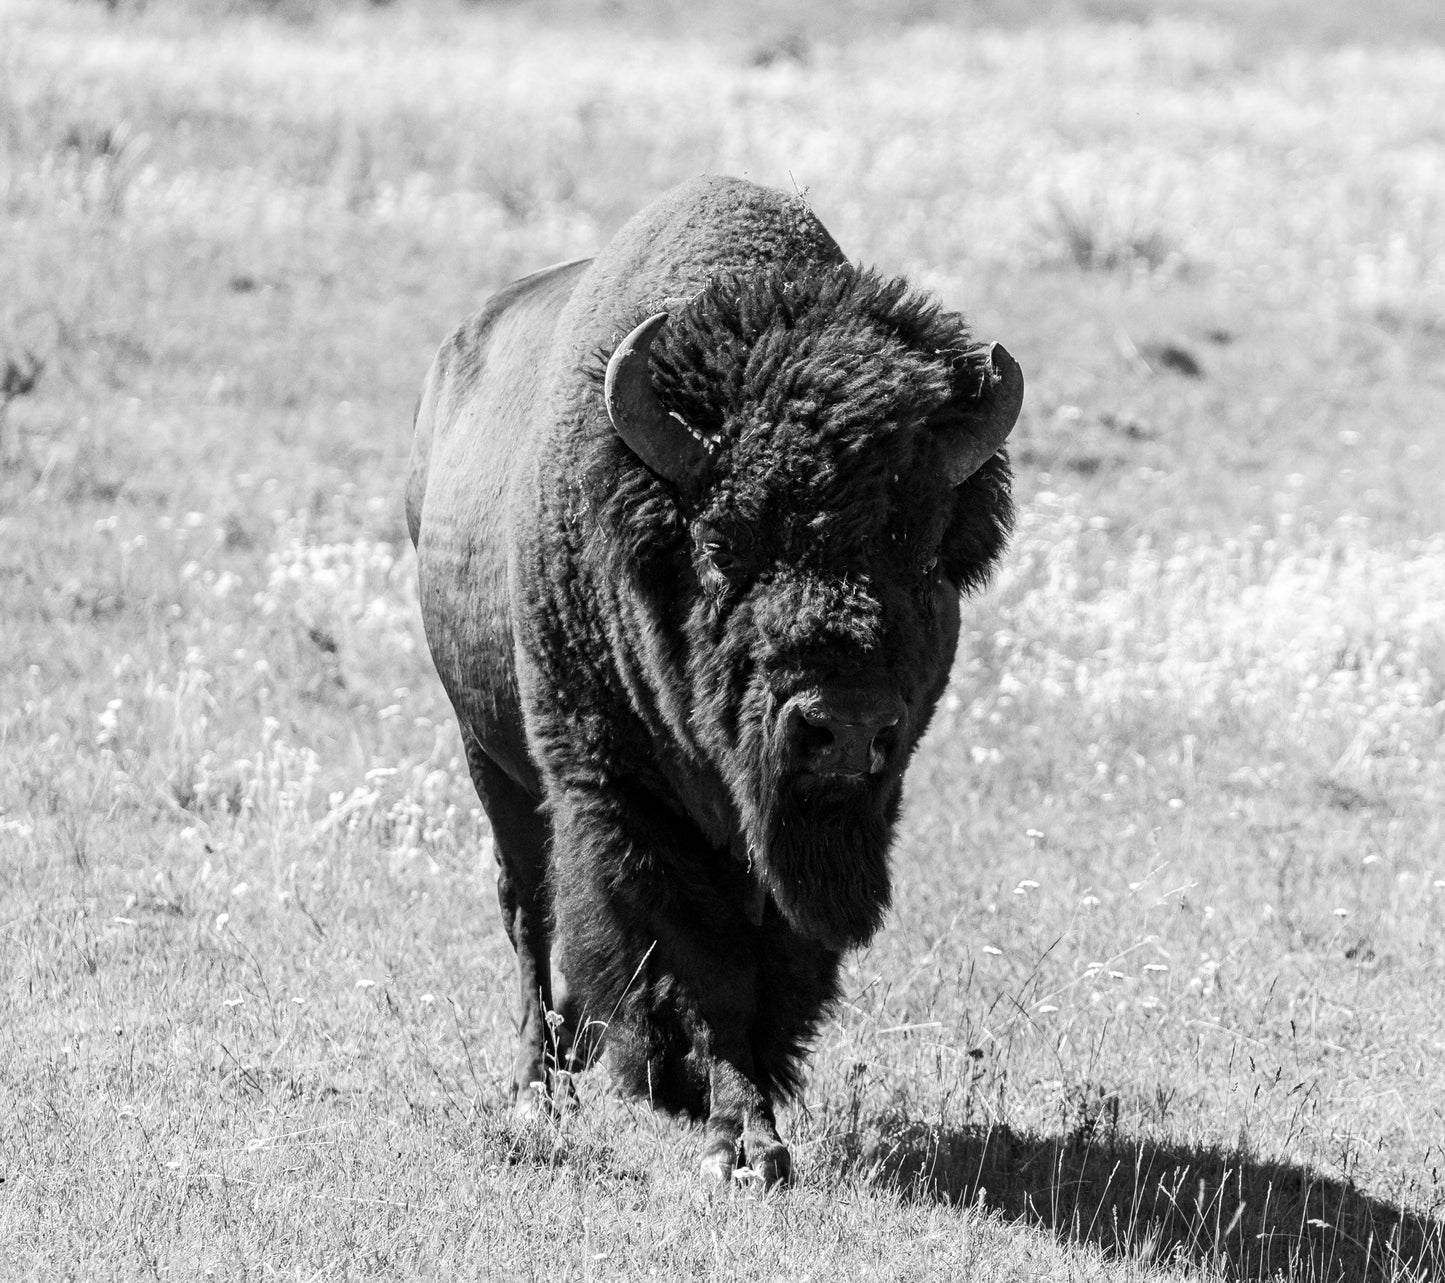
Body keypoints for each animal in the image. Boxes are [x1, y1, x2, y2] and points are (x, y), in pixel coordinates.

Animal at [407, 175, 1017, 1190]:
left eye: (926, 555)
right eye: (725, 544)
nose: (843, 727)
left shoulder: (824, 821)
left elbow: (777, 962)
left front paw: (728, 1107)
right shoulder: (628, 797)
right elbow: (705, 958)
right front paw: (740, 1143)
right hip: (489, 755)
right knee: (527, 911)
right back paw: (540, 1086)